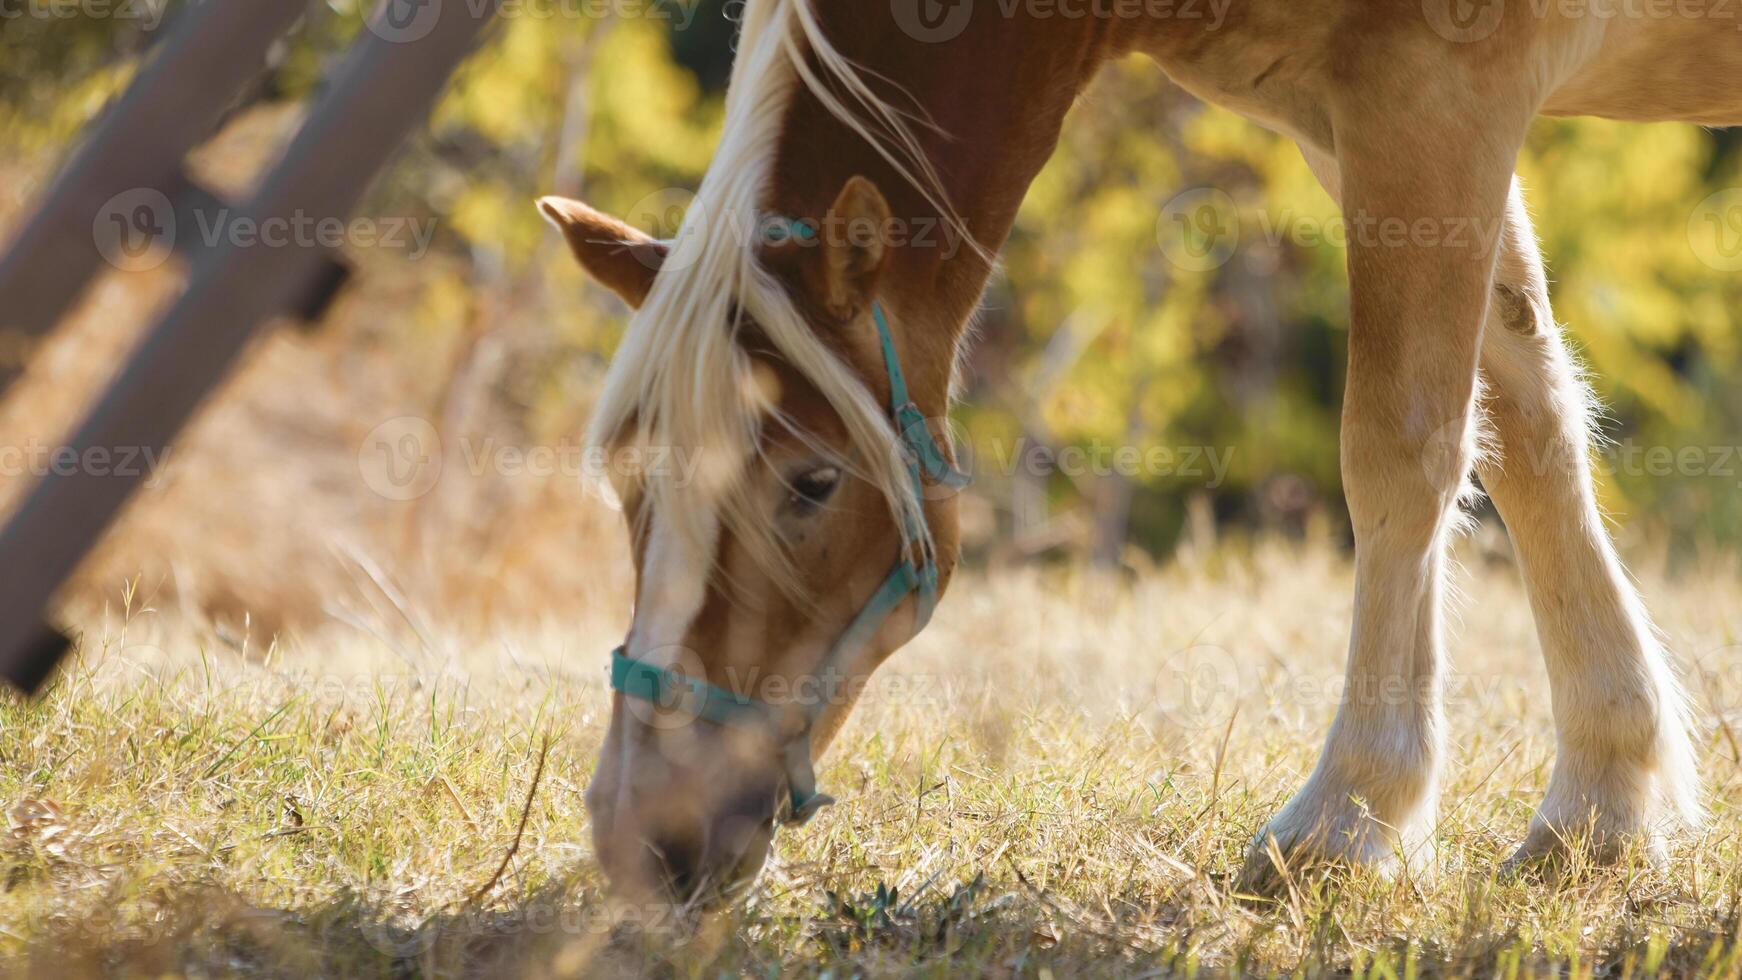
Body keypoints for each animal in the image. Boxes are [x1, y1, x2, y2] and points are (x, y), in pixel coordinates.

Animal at [536, 0, 1735, 898]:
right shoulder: (1357, 126)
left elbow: (1400, 448)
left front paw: (1345, 821)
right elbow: (1528, 428)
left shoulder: (1434, 95)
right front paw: (1603, 797)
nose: (642, 833)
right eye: (630, 482)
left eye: (812, 481)